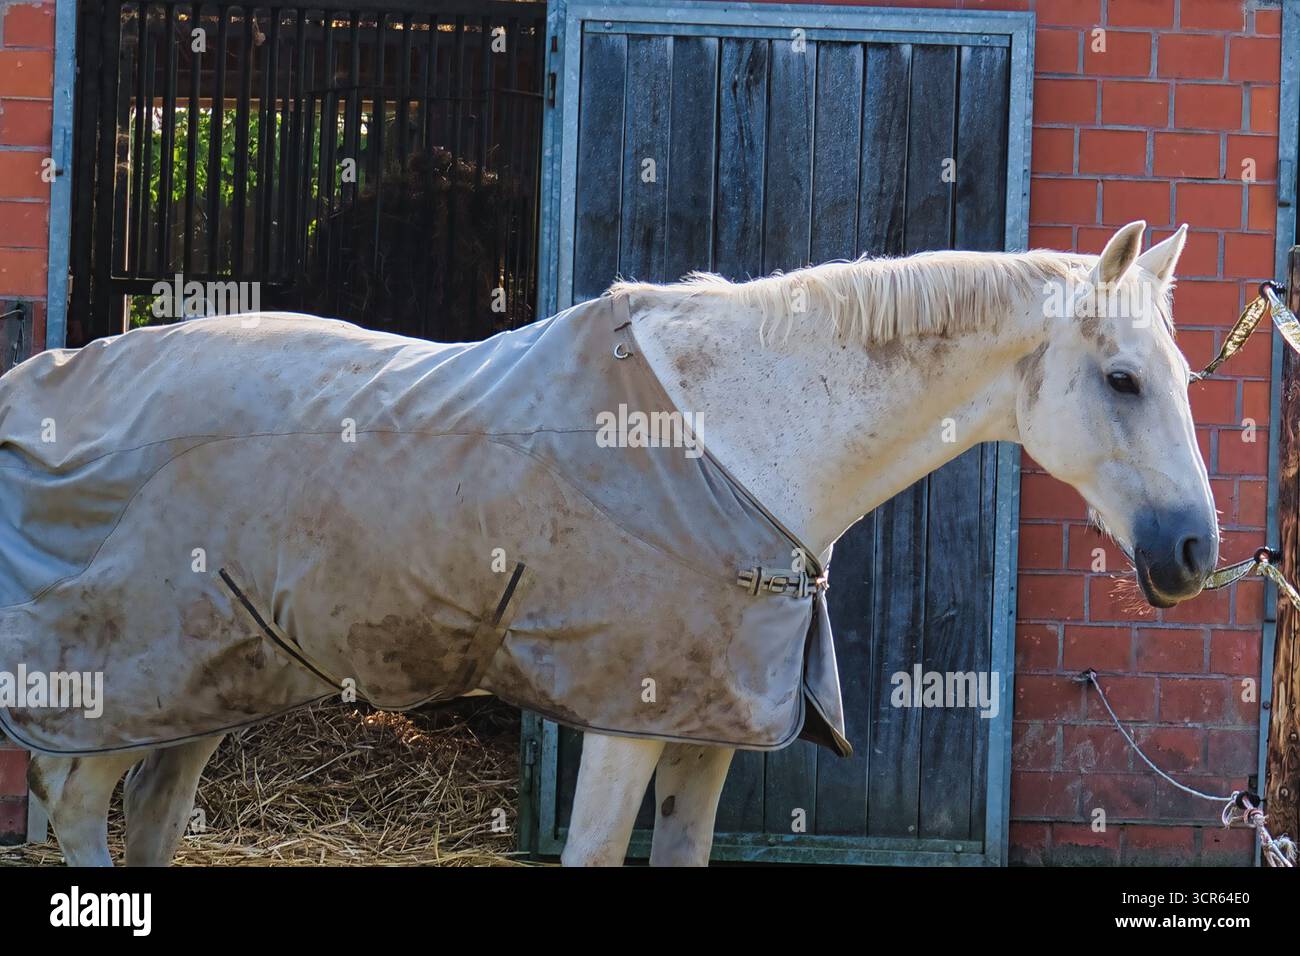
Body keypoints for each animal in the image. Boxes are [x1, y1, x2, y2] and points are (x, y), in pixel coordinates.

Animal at [4, 220, 1216, 866]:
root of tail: (42, 385)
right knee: (74, 805)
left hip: (211, 680)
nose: (1195, 553)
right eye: (1122, 379)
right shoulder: (627, 720)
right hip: (109, 689)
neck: (741, 438)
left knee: (148, 811)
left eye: (1184, 378)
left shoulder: (704, 730)